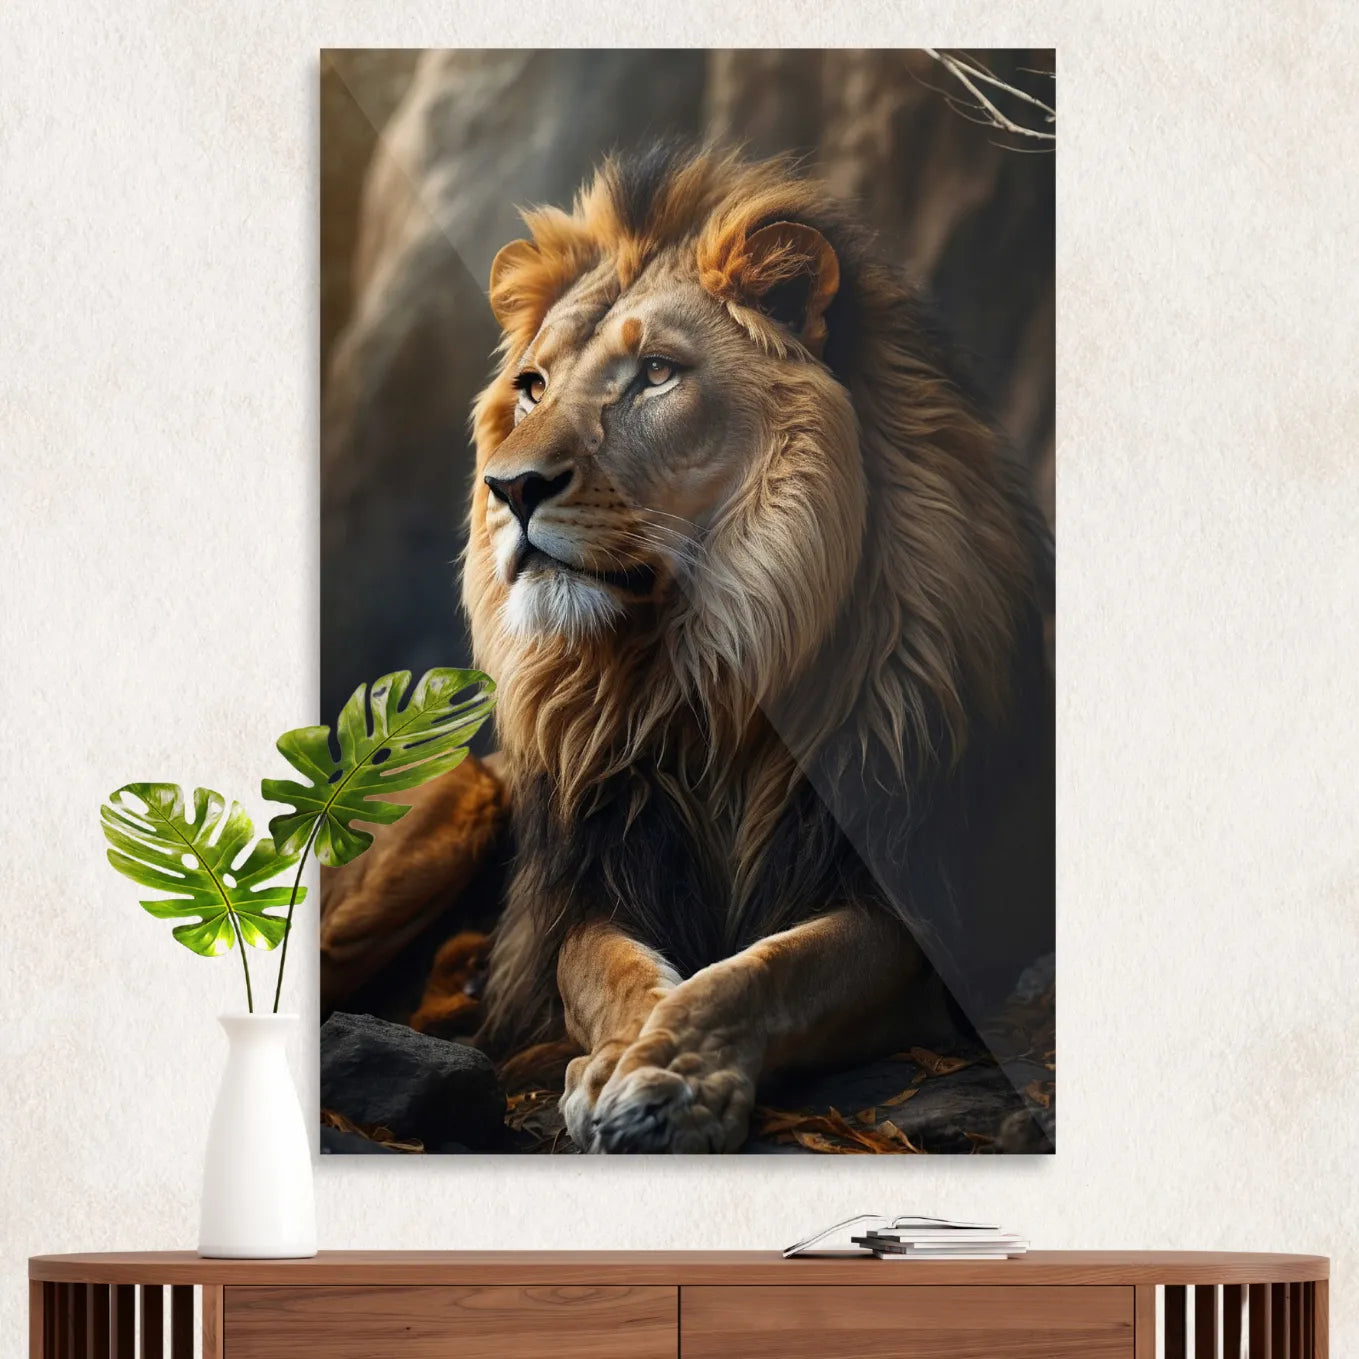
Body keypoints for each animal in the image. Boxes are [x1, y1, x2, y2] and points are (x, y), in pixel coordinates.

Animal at [463, 144, 1053, 1153]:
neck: (700, 676)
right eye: (531, 385)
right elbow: (610, 971)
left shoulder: (903, 899)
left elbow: (767, 969)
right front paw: (621, 1061)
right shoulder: (588, 891)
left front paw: (667, 1076)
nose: (511, 488)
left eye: (656, 373)